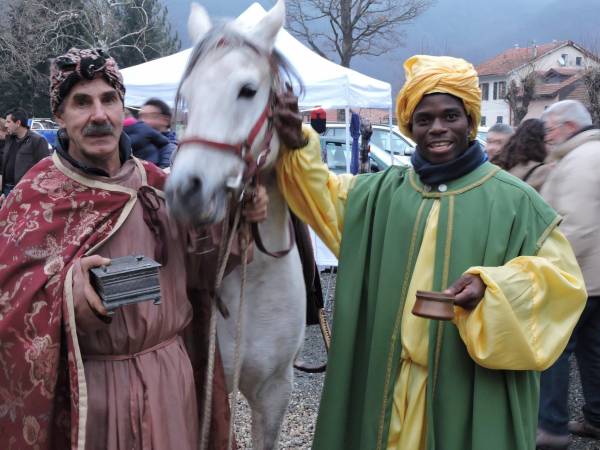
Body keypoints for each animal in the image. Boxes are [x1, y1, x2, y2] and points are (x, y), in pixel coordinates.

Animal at [164, 1, 308, 448]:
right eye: (188, 95)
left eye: (247, 90)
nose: (185, 192)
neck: (255, 276)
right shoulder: (209, 387)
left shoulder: (275, 391)